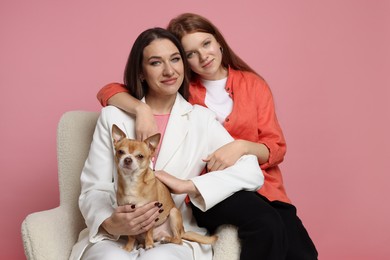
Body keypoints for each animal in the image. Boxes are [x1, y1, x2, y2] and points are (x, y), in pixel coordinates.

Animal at [111, 124, 218, 252]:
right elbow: (130, 235)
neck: (132, 181)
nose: (127, 159)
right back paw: (142, 243)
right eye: (120, 152)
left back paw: (166, 239)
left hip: (173, 213)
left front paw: (149, 244)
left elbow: (149, 231)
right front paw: (128, 247)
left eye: (140, 156)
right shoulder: (128, 217)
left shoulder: (152, 213)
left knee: (179, 240)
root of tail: (183, 231)